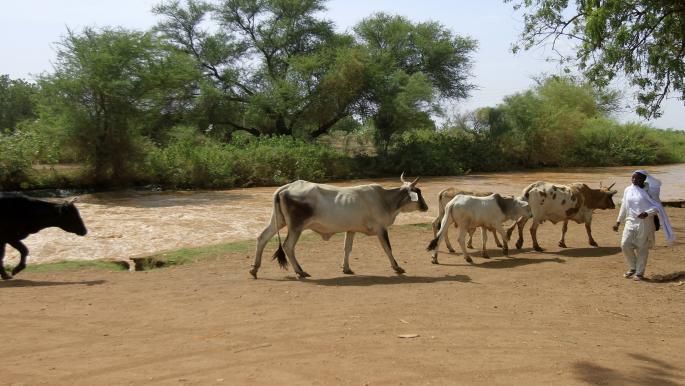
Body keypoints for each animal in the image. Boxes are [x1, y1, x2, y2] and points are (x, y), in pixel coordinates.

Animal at [248, 174, 428, 278]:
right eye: (418, 193)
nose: (425, 207)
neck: (385, 200)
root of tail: (285, 187)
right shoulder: (381, 229)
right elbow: (387, 248)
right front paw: (397, 267)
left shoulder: (351, 229)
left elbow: (347, 248)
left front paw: (346, 268)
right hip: (296, 227)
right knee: (288, 246)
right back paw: (300, 271)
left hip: (278, 221)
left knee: (262, 238)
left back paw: (254, 269)